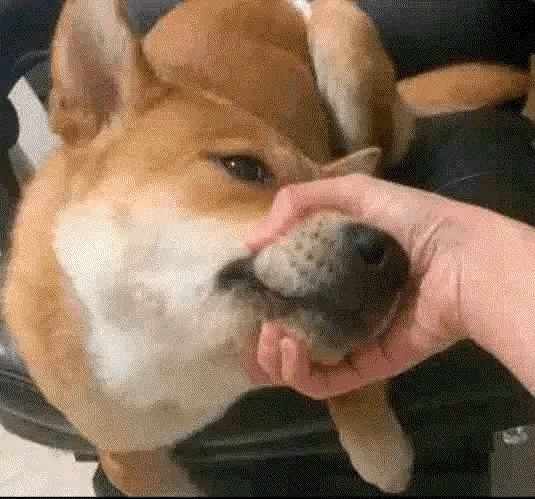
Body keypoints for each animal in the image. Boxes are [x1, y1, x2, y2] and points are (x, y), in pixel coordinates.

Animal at [3, 0, 530, 496]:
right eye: (244, 167)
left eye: (323, 191)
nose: (392, 256)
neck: (175, 347)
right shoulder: (124, 457)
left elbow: (371, 435)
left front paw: (378, 445)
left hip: (346, 53)